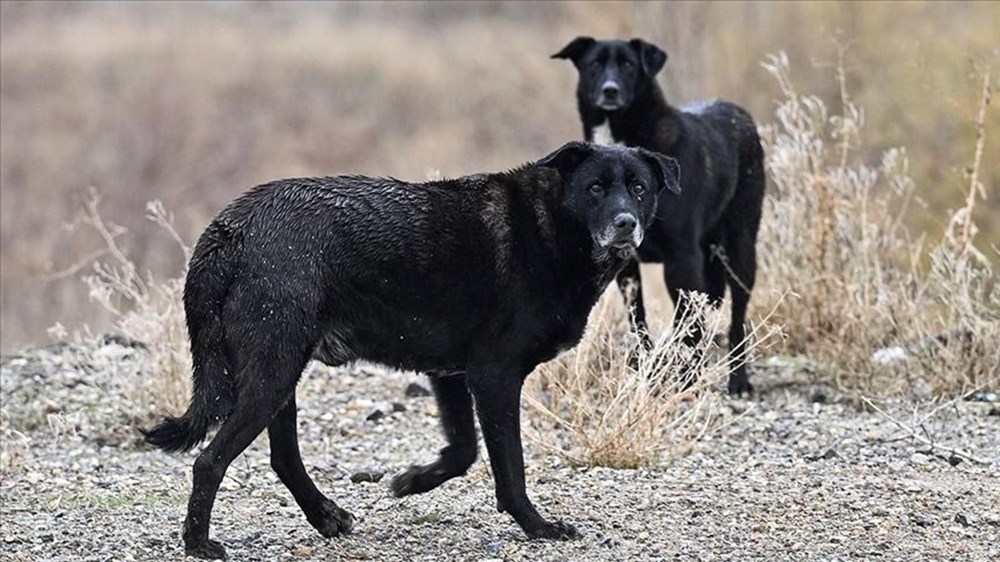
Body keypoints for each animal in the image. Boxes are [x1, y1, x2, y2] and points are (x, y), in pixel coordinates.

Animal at [141, 141, 680, 556]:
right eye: (595, 188)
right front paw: (538, 527)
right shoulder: (494, 375)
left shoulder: (453, 374)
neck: (550, 228)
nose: (625, 223)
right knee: (210, 461)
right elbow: (511, 467)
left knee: (283, 459)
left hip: (278, 374)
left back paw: (326, 517)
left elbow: (463, 450)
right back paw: (198, 543)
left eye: (639, 188)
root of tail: (231, 227)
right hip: (272, 373)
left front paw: (414, 480)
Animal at [556, 36, 764, 394]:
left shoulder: (681, 259)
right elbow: (638, 320)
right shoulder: (627, 266)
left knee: (737, 316)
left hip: (740, 249)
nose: (610, 90)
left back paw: (738, 380)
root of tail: (740, 114)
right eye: (595, 64)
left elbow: (689, 322)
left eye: (628, 65)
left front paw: (689, 378)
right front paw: (646, 369)